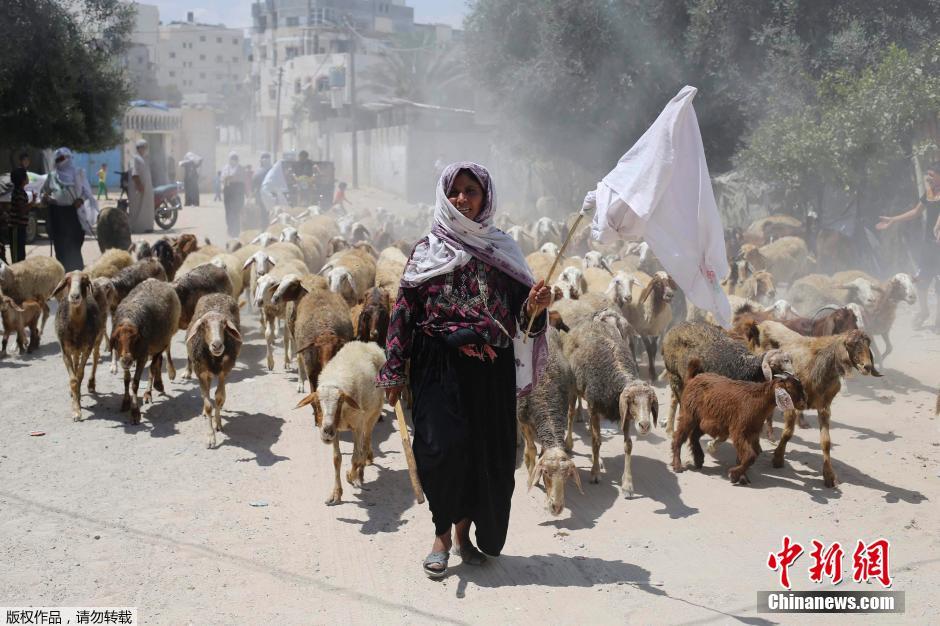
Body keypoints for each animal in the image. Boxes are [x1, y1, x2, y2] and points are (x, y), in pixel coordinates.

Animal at [672, 356, 804, 482]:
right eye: (790, 388)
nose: (803, 403)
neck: (758, 401)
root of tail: (693, 378)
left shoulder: (752, 432)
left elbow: (748, 455)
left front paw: (741, 477)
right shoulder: (739, 430)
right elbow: (750, 456)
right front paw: (734, 474)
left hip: (705, 420)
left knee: (694, 436)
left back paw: (698, 459)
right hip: (688, 414)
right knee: (679, 437)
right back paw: (677, 466)